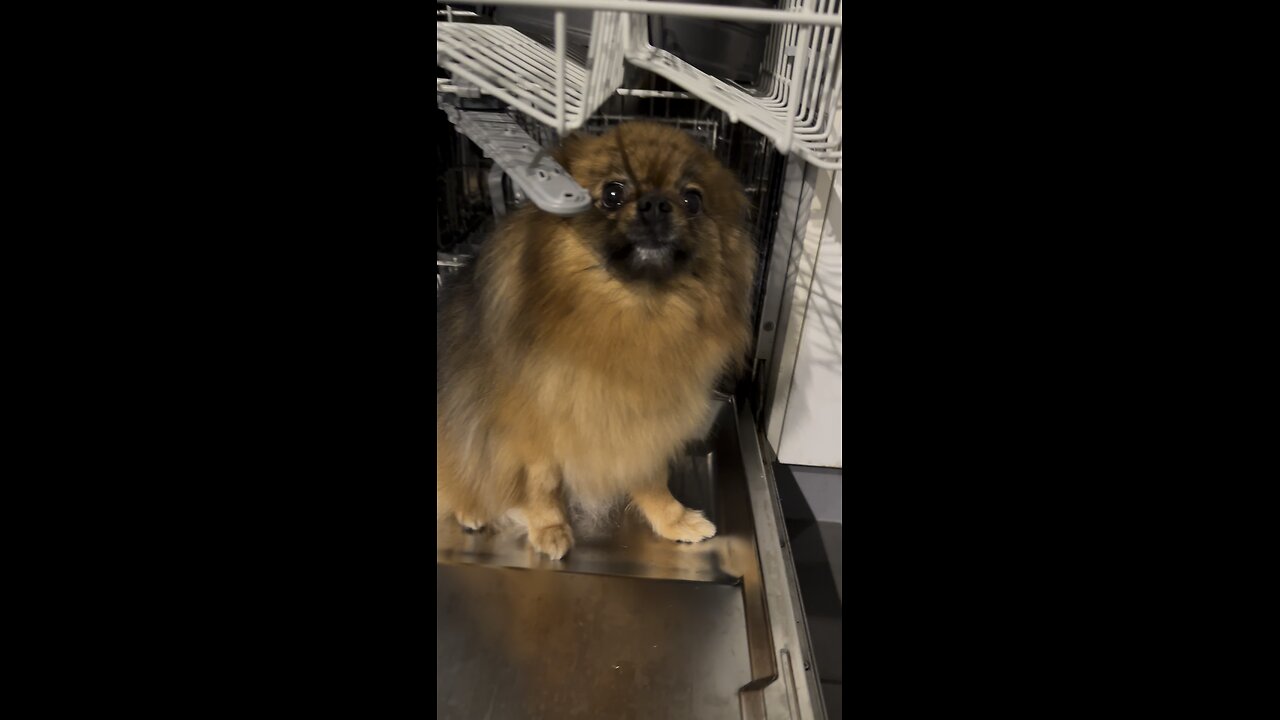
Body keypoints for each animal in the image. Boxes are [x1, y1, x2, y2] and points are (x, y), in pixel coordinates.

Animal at [440, 120, 752, 558]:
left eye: (692, 200)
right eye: (613, 193)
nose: (656, 204)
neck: (637, 313)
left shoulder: (641, 426)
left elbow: (651, 478)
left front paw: (673, 520)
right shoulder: (531, 432)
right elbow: (542, 483)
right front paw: (550, 527)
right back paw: (471, 508)